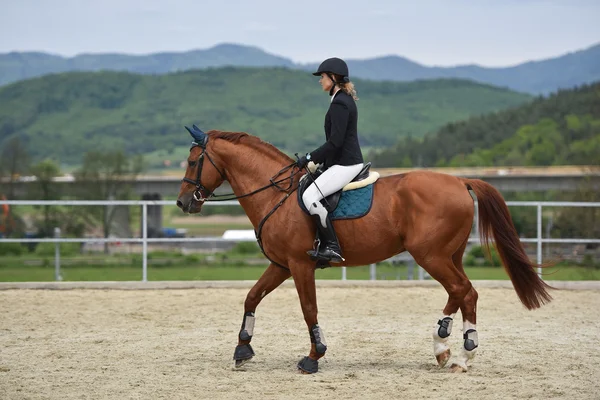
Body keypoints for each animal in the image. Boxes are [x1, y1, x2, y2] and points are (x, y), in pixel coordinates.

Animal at [176, 129, 552, 376]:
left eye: (193, 161)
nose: (182, 203)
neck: (276, 195)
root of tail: (460, 180)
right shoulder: (281, 265)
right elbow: (252, 297)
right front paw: (242, 349)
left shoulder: (299, 264)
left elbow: (308, 309)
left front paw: (313, 356)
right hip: (448, 255)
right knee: (461, 293)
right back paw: (444, 348)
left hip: (430, 256)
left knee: (463, 291)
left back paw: (459, 354)